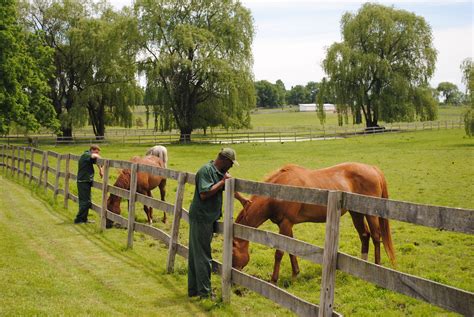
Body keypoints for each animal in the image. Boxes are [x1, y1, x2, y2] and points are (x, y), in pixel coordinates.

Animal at [233, 162, 396, 282]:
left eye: (232, 251)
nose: (234, 272)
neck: (279, 190)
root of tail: (372, 168)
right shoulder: (286, 225)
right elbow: (291, 248)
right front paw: (295, 274)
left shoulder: (285, 223)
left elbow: (280, 252)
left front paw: (274, 279)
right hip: (356, 213)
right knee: (364, 235)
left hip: (370, 214)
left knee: (376, 236)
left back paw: (376, 266)